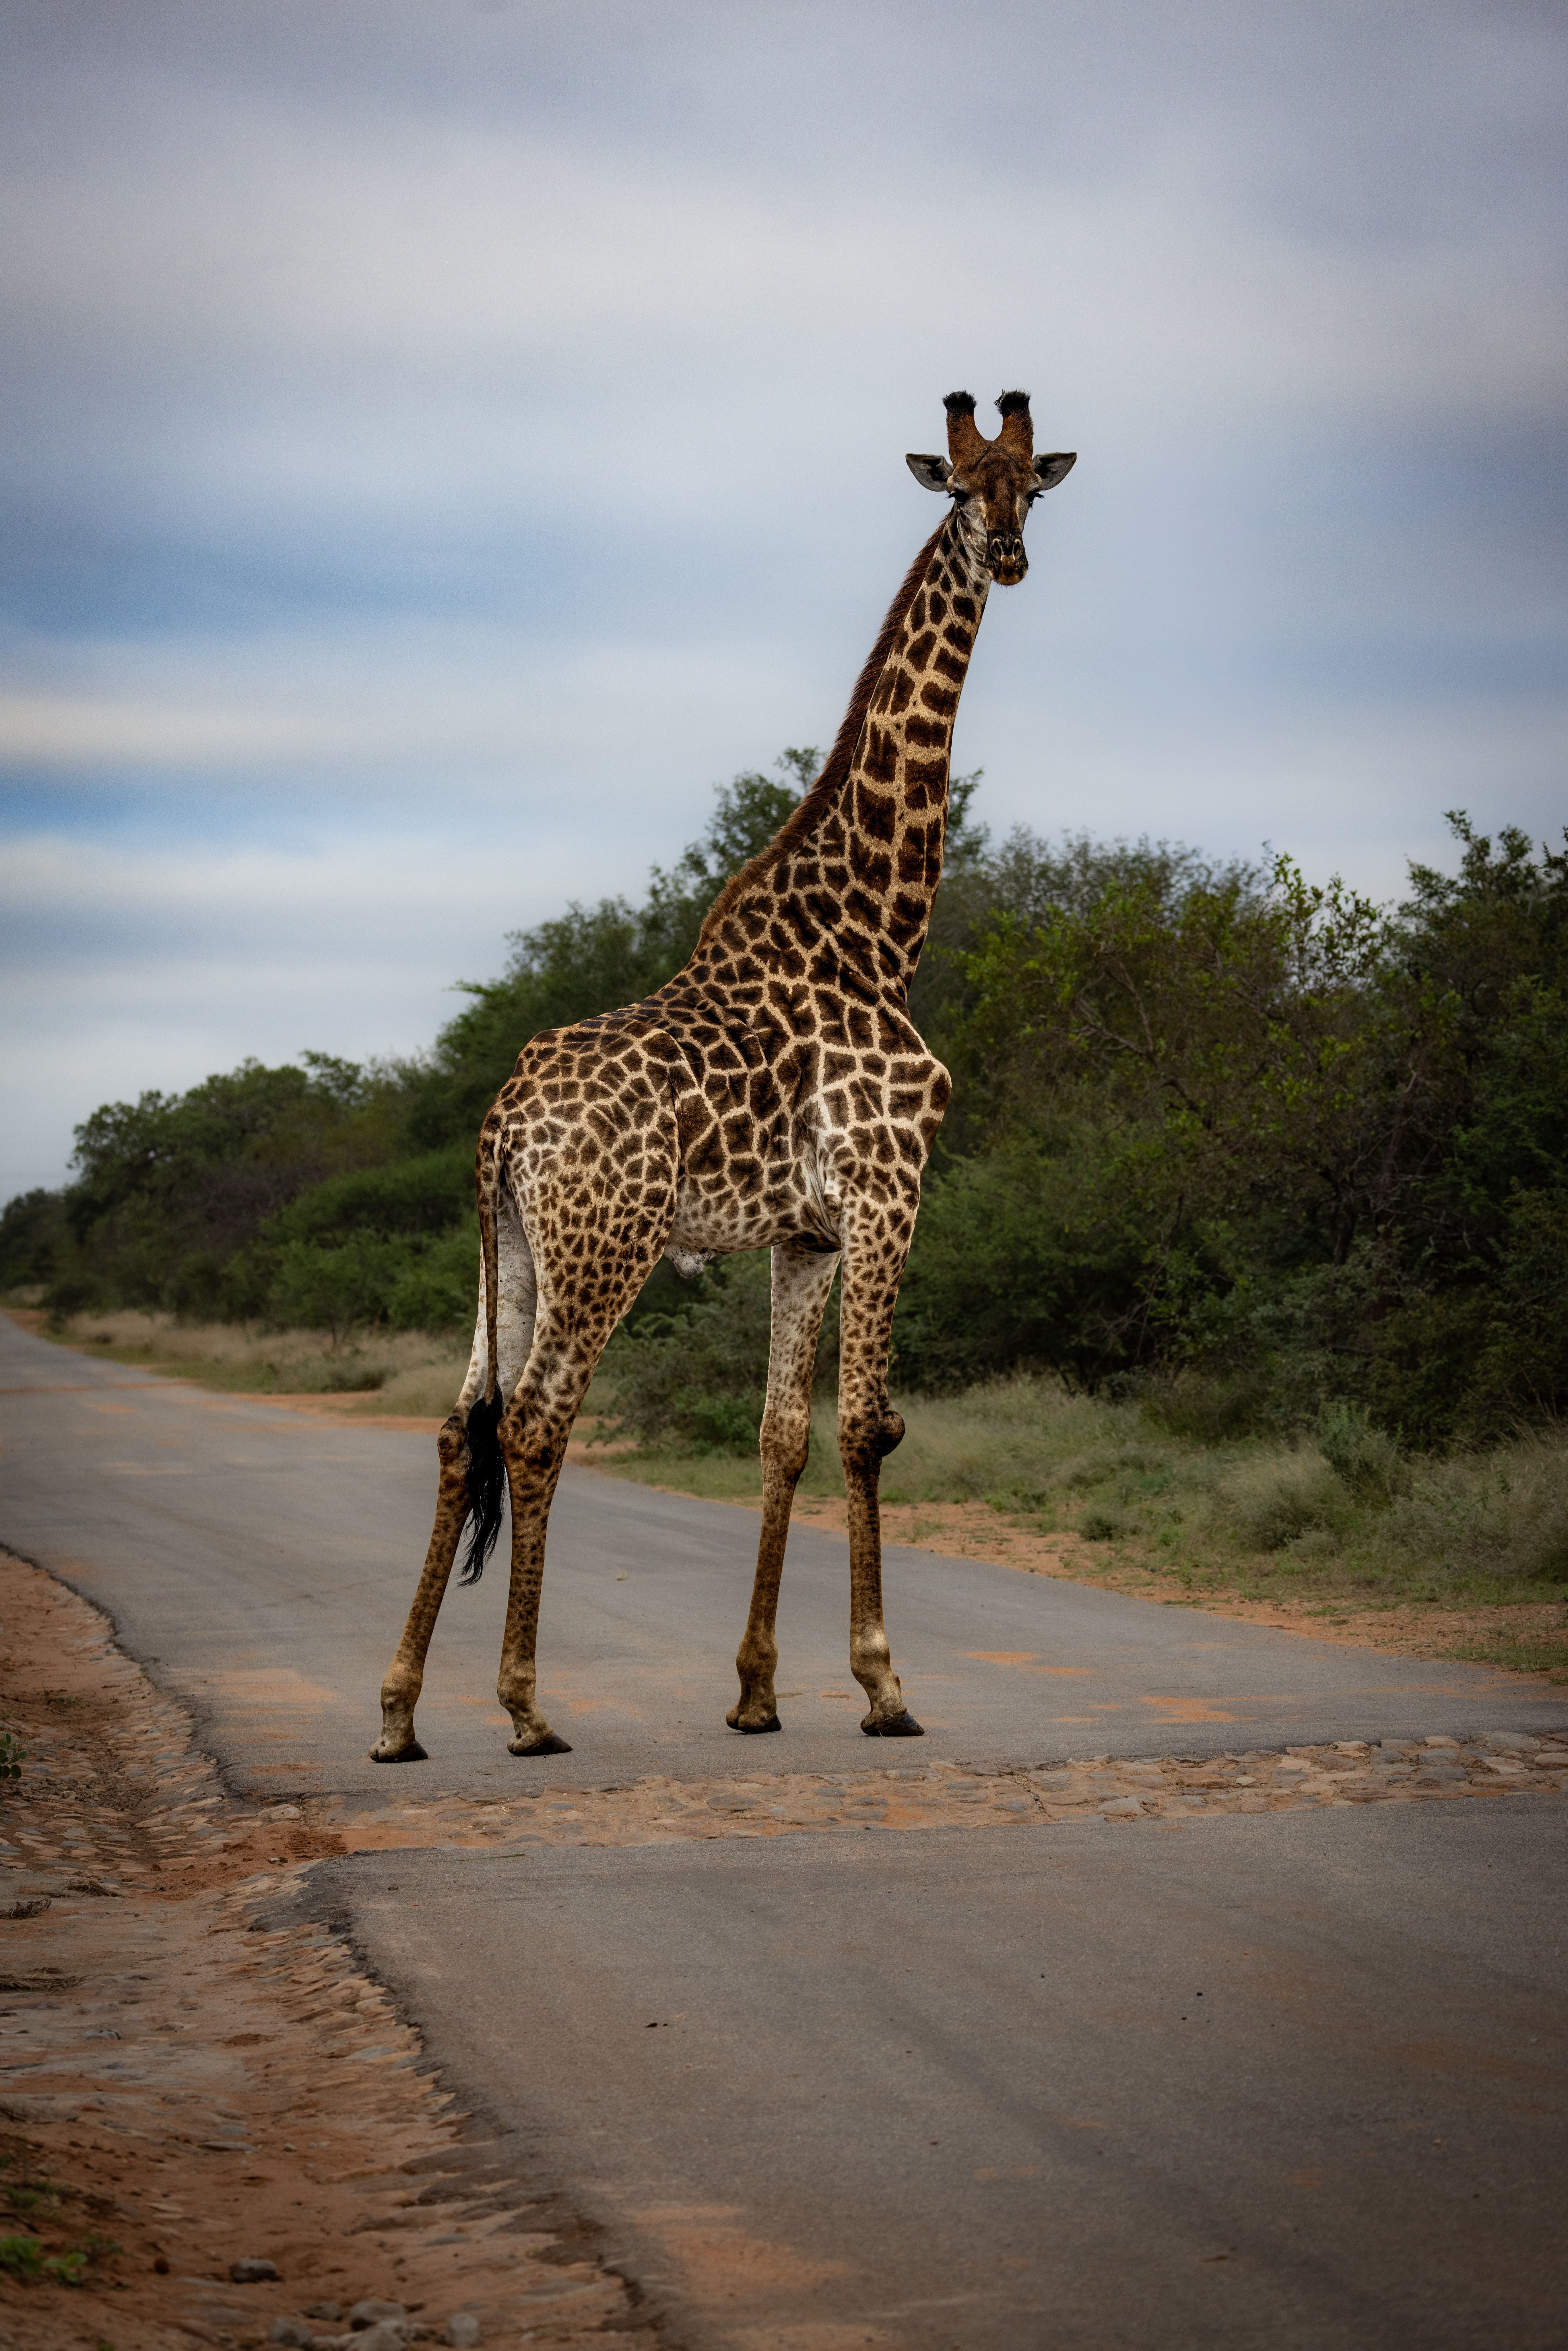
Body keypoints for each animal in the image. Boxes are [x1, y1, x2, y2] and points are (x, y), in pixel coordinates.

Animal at [371, 390, 1075, 1762]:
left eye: (1033, 486)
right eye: (961, 490)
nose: (1011, 557)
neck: (878, 931)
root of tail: (501, 1124)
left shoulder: (805, 1231)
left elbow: (780, 1435)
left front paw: (756, 1693)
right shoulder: (890, 1185)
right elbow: (867, 1426)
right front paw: (884, 1686)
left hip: (510, 1249)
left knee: (455, 1423)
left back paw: (398, 1713)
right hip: (606, 1245)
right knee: (533, 1423)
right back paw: (523, 1707)